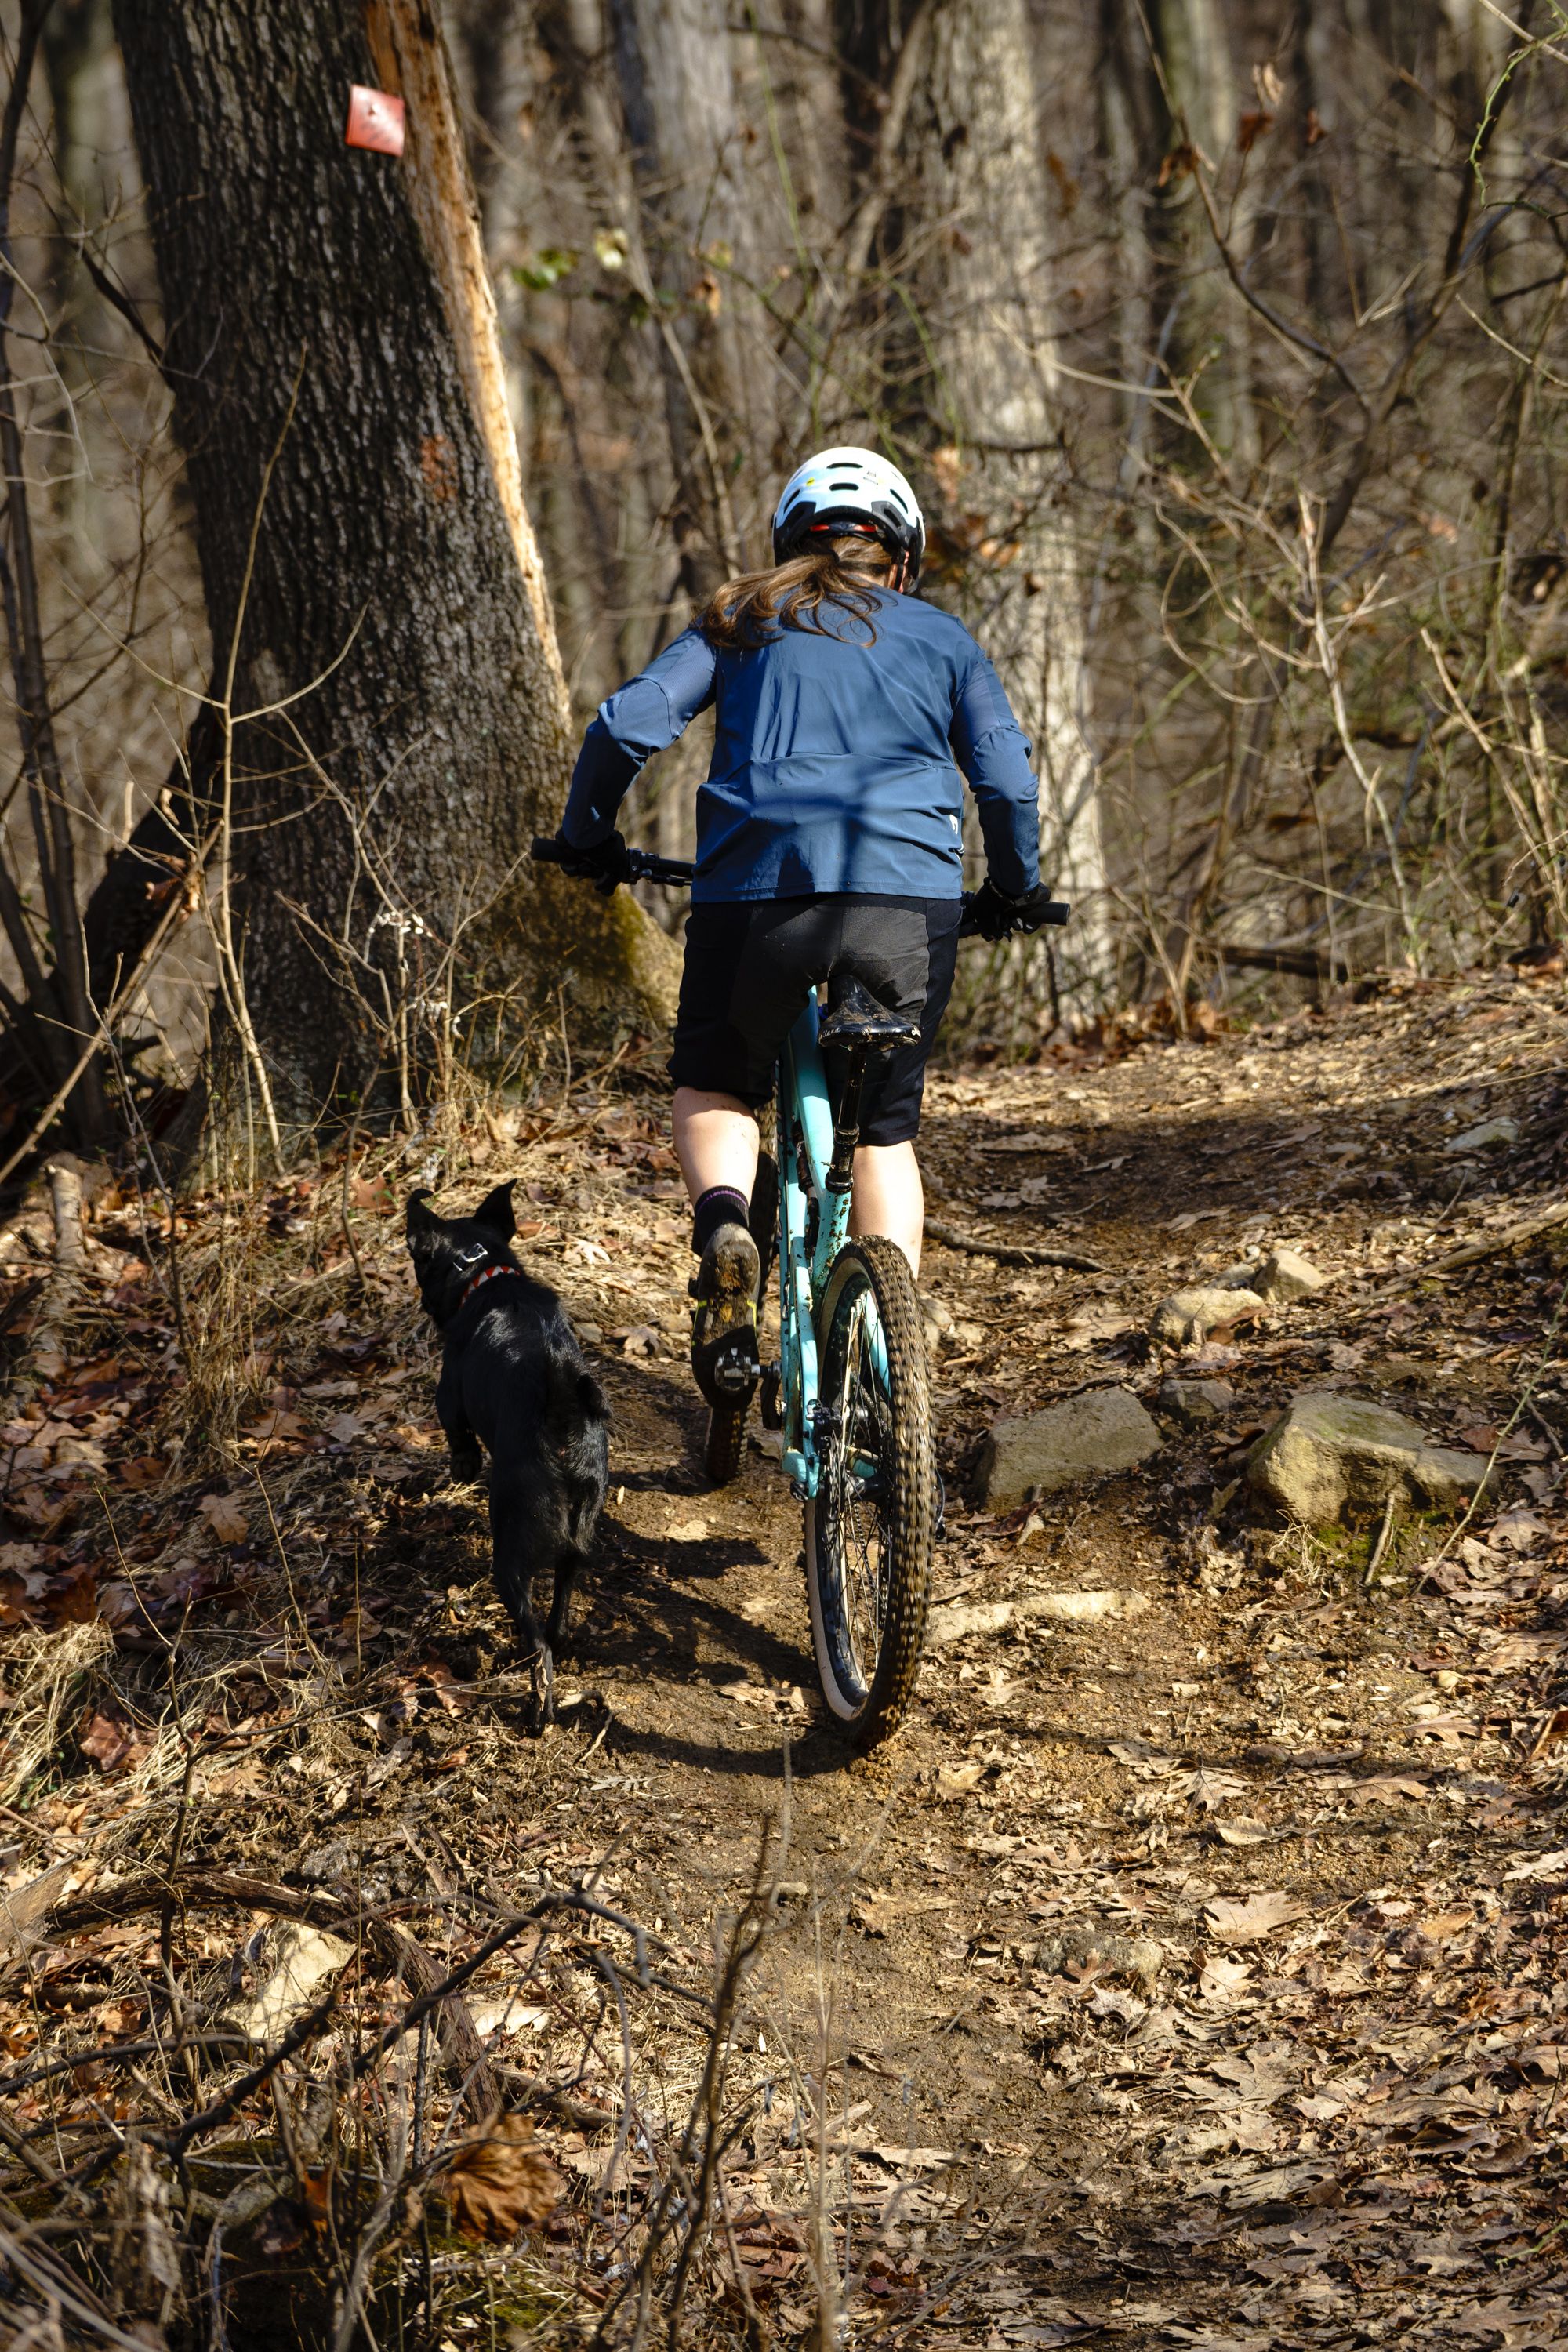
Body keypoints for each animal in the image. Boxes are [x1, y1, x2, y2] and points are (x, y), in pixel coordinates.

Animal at [408, 1185, 611, 1722]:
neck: (485, 1272)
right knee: (557, 1616)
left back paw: (538, 1707)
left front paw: (463, 1466)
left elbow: (457, 1435)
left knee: (537, 1640)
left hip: (511, 1552)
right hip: (578, 1540)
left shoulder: (449, 1396)